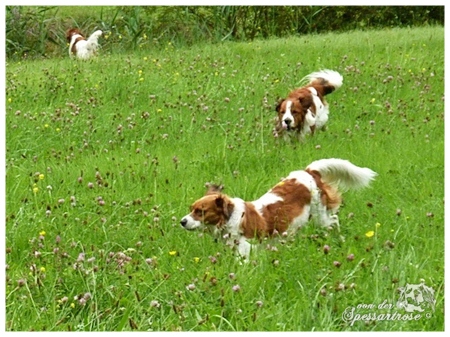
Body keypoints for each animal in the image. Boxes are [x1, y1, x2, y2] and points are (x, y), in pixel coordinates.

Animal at [180, 158, 376, 258]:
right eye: (191, 209)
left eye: (200, 211)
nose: (182, 221)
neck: (232, 218)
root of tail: (308, 172)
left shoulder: (246, 249)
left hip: (320, 216)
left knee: (334, 221)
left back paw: (339, 239)